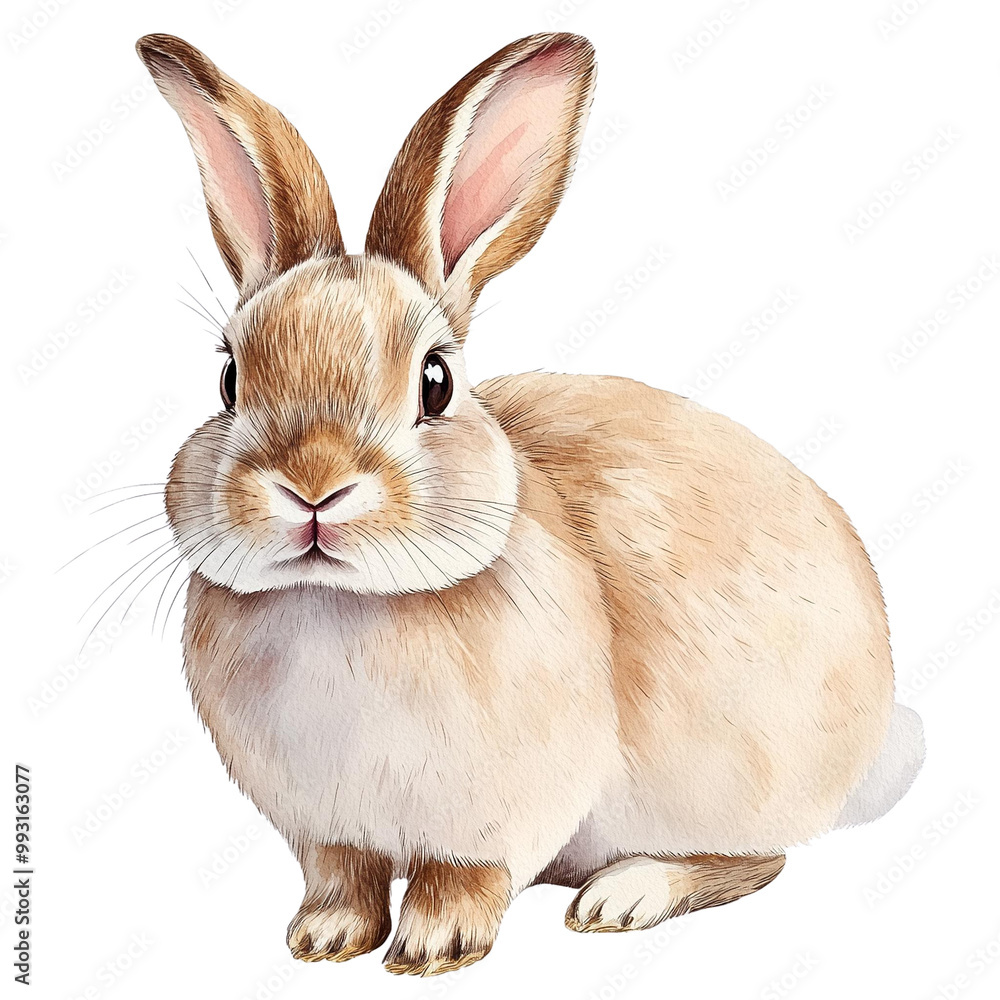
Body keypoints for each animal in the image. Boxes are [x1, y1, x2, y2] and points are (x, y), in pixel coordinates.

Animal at [136, 31, 925, 977]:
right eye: (228, 379)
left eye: (436, 382)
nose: (314, 486)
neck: (341, 602)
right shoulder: (324, 830)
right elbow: (344, 876)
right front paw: (323, 937)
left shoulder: (497, 814)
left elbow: (464, 875)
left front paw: (433, 945)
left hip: (725, 780)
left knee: (757, 859)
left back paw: (626, 894)